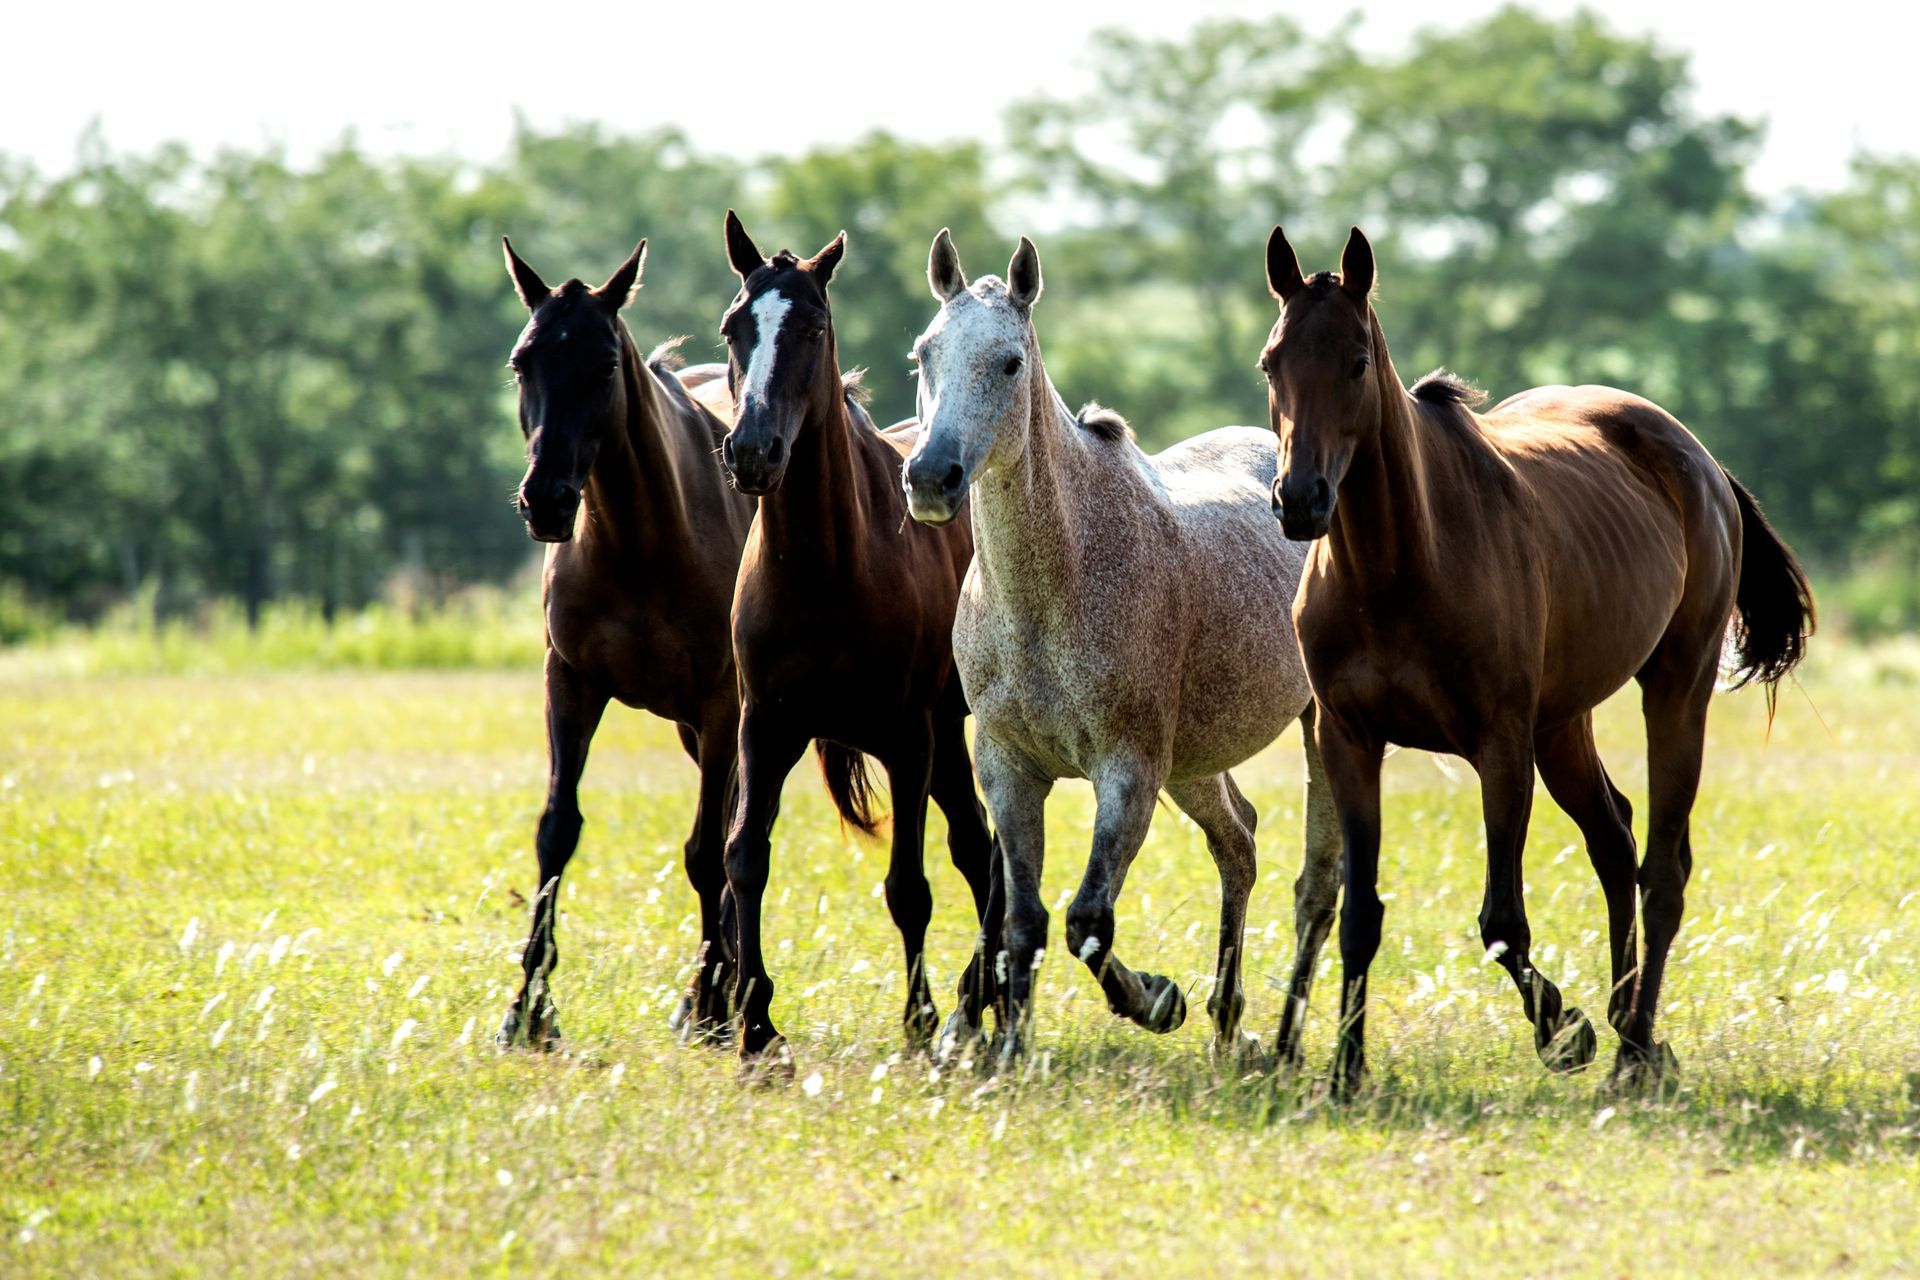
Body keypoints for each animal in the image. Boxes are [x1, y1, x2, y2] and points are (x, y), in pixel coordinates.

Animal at [495, 238, 755, 1049]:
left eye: (605, 366)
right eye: (523, 360)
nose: (546, 499)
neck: (644, 543)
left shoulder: (722, 704)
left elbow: (706, 853)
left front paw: (711, 1002)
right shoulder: (571, 683)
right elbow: (556, 833)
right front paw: (527, 1011)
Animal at [715, 212, 1000, 1062]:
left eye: (813, 327)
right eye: (735, 327)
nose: (752, 451)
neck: (829, 568)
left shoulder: (907, 736)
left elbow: (909, 886)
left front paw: (921, 1019)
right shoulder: (765, 727)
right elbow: (745, 856)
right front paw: (756, 1024)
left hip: (944, 734)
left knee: (980, 854)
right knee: (981, 851)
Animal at [902, 231, 1342, 1066]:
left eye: (1010, 361)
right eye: (924, 353)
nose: (930, 476)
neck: (1052, 589)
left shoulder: (1128, 771)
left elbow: (1086, 920)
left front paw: (1156, 1000)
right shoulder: (1009, 770)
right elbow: (1023, 921)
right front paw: (1009, 1051)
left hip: (1314, 733)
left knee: (1318, 882)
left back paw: (1281, 1043)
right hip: (1195, 761)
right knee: (1238, 843)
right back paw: (1228, 1023)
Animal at [1259, 225, 1815, 1092]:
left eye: (1355, 361)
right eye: (1271, 362)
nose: (1300, 499)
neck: (1401, 565)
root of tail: (1698, 458)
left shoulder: (1500, 745)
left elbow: (1502, 921)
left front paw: (1564, 1029)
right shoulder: (1349, 740)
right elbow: (1360, 913)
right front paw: (1346, 1071)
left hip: (1674, 690)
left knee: (1663, 871)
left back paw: (1632, 1047)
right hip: (1563, 724)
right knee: (1615, 841)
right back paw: (1630, 1024)